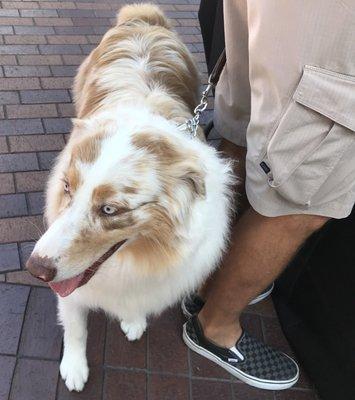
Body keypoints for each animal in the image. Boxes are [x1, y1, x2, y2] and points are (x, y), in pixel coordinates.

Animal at [26, 2, 235, 390]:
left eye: (110, 209)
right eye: (67, 189)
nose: (36, 270)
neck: (133, 258)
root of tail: (144, 17)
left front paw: (134, 320)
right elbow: (75, 325)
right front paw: (74, 368)